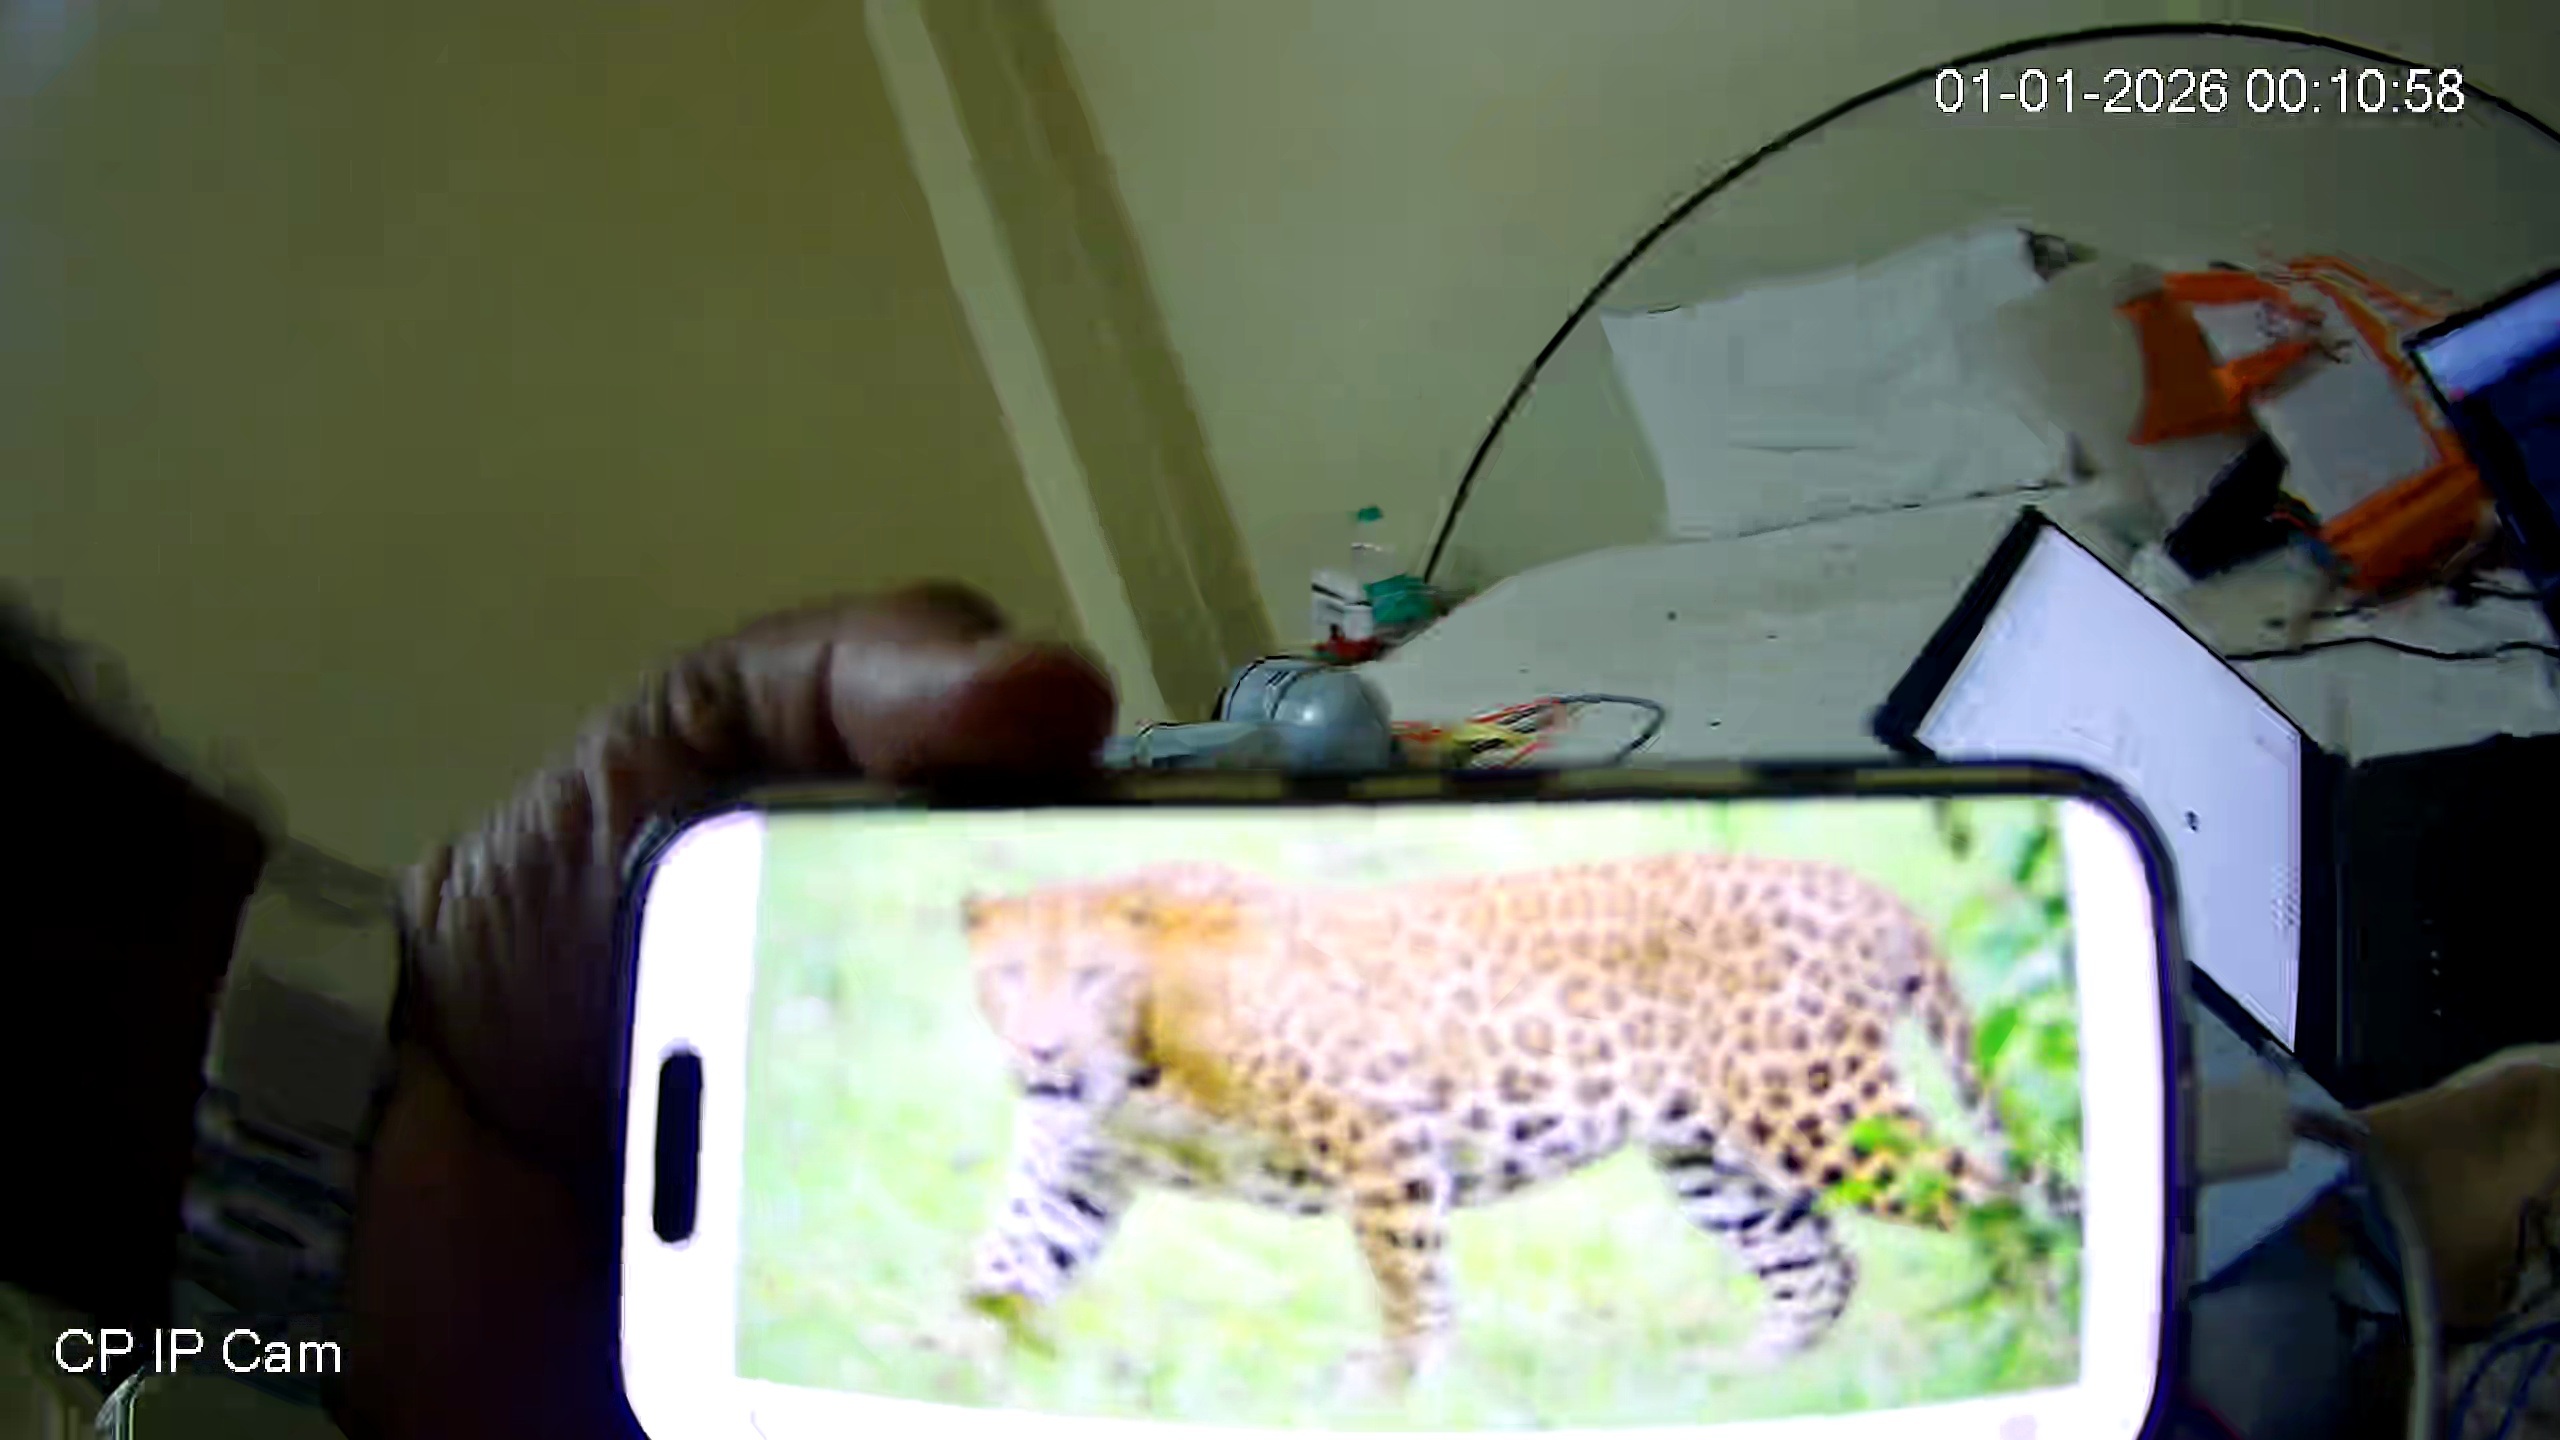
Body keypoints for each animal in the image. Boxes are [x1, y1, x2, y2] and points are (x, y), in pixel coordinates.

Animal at [958, 853, 2056, 1387]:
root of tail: (1869, 895)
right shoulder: (1069, 1178)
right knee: (1820, 1267)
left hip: (1821, 1111)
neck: (1136, 1065)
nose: (1040, 1053)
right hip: (1712, 1155)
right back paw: (1743, 1381)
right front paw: (948, 1380)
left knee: (2006, 1202)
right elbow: (1000, 1278)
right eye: (1008, 978)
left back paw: (2031, 1341)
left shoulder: (1381, 1137)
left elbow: (1407, 1281)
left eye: (1091, 977)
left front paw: (1404, 1385)